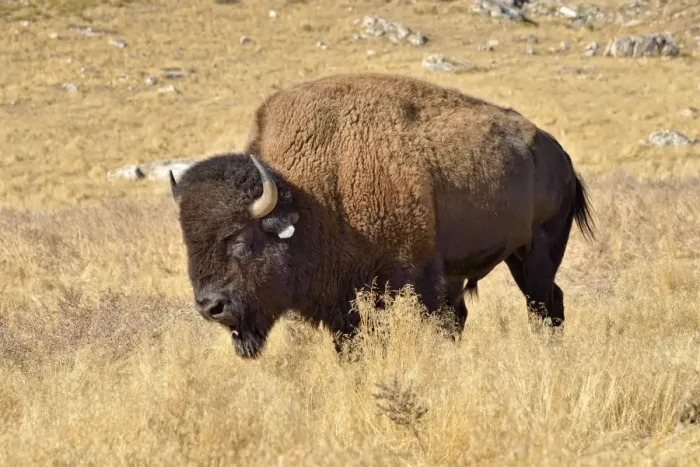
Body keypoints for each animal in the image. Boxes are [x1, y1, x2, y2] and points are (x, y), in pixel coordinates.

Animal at [169, 73, 595, 358]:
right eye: (188, 242)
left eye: (240, 238)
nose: (210, 307)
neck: (312, 196)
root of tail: (560, 154)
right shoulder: (343, 304)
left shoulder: (408, 282)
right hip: (517, 258)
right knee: (550, 300)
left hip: (540, 251)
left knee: (541, 305)